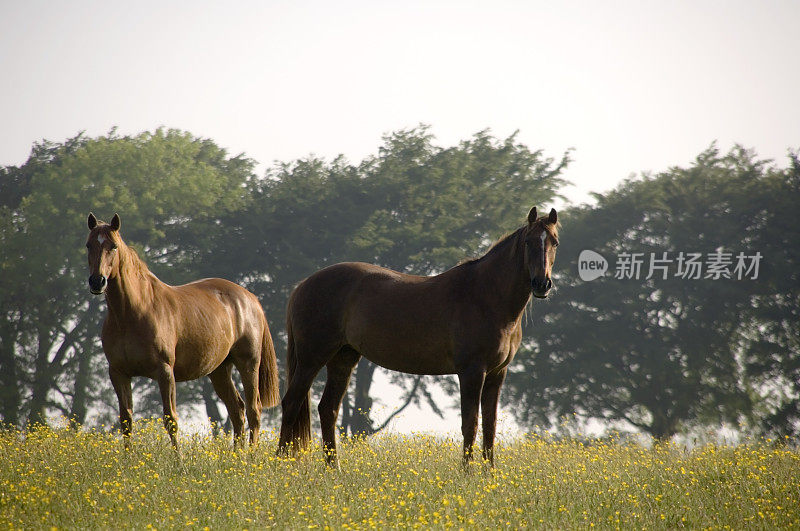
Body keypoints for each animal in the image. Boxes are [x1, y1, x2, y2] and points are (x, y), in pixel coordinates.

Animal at [86, 212, 280, 448]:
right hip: (220, 370)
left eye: (113, 246)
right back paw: (237, 455)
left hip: (248, 363)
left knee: (254, 411)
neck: (132, 313)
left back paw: (250, 455)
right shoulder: (118, 373)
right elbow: (126, 421)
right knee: (237, 411)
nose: (97, 281)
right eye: (88, 245)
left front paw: (177, 458)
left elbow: (171, 419)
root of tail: (250, 298)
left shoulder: (165, 371)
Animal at [278, 207, 560, 466]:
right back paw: (280, 463)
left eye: (554, 242)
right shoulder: (472, 371)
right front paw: (468, 475)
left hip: (343, 358)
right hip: (311, 358)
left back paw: (333, 469)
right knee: (291, 403)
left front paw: (488, 476)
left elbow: (489, 427)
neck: (485, 296)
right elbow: (470, 424)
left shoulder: (497, 373)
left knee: (328, 408)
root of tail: (304, 284)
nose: (542, 284)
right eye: (528, 242)